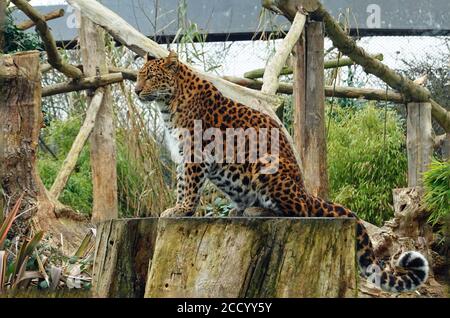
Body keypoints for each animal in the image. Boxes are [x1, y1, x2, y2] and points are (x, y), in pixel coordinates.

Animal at [135, 50, 430, 294]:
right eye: (138, 76)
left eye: (150, 77)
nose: (137, 91)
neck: (168, 104)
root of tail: (307, 191)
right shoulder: (182, 153)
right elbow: (181, 183)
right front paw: (177, 208)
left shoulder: (195, 151)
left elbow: (188, 185)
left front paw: (180, 210)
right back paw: (239, 211)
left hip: (268, 166)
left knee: (300, 211)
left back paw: (256, 211)